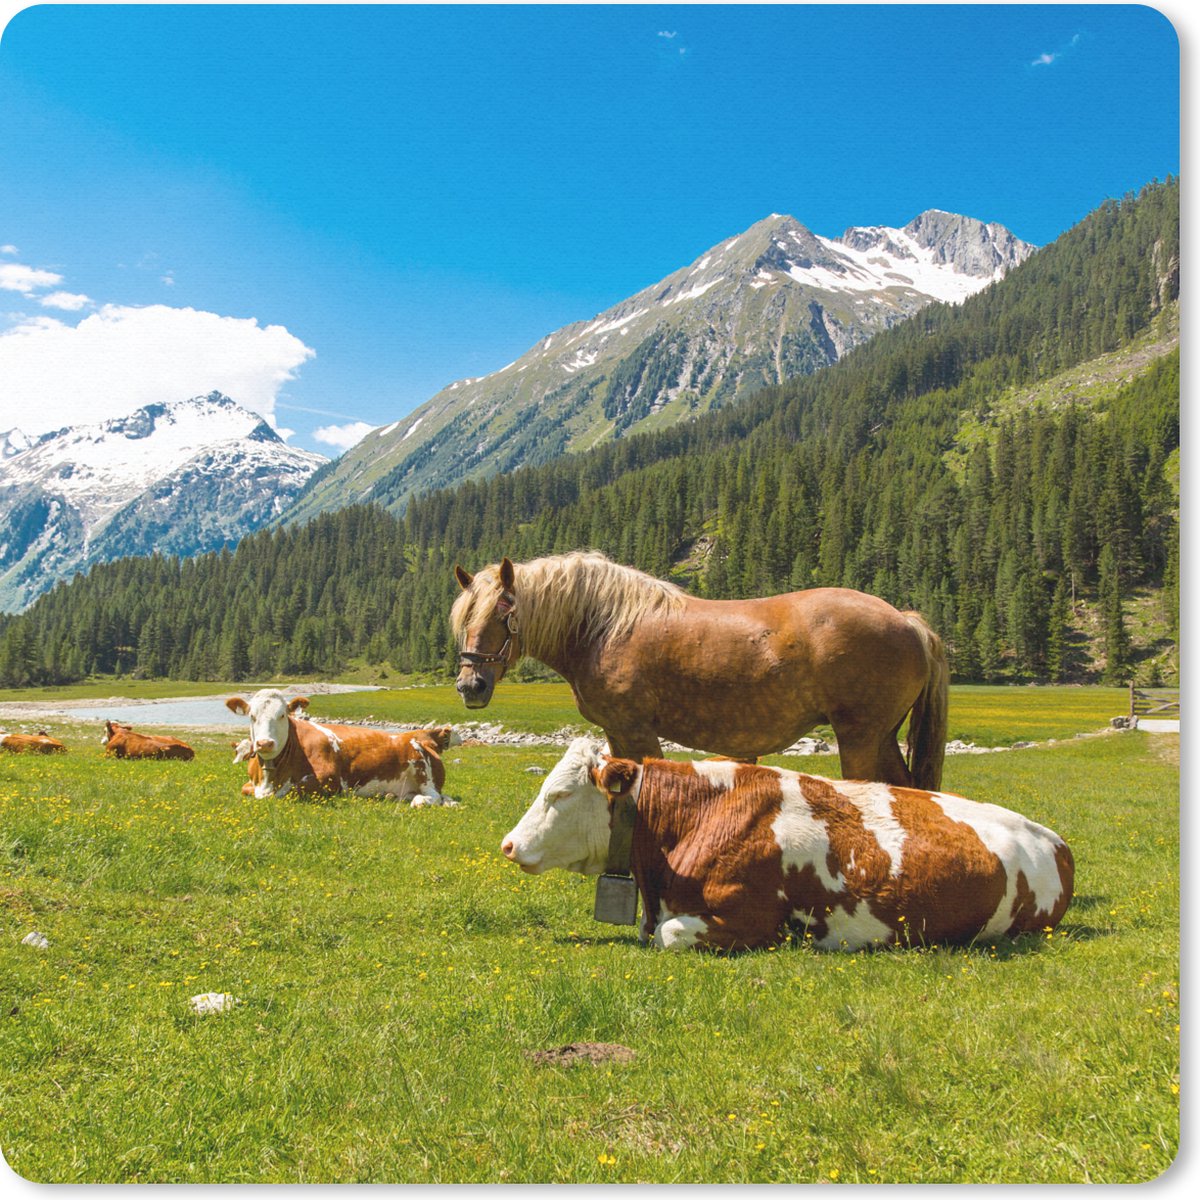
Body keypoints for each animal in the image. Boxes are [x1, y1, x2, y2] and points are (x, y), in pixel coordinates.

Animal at [225, 689, 457, 805]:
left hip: (422, 769)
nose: (265, 743)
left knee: (431, 798)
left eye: (282, 715)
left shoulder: (329, 781)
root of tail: (424, 737)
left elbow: (287, 791)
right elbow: (246, 789)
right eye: (252, 716)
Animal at [451, 551, 949, 790]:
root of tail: (906, 620)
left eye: (504, 612)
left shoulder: (637, 732)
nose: (470, 685)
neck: (603, 627)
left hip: (860, 738)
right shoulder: (617, 732)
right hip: (882, 737)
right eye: (464, 616)